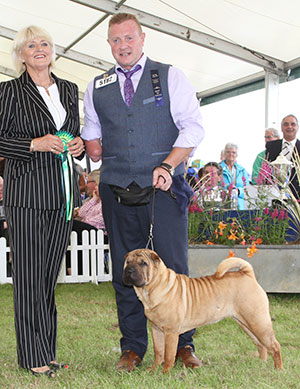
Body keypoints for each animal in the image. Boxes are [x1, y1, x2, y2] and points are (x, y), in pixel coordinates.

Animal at [122, 249, 282, 372]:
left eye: (143, 263)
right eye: (128, 262)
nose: (129, 270)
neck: (151, 289)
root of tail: (248, 274)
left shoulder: (171, 332)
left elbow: (168, 354)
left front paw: (165, 372)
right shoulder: (156, 329)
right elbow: (159, 352)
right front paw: (153, 370)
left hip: (258, 321)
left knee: (274, 345)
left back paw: (278, 369)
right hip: (247, 323)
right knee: (260, 344)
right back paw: (261, 363)